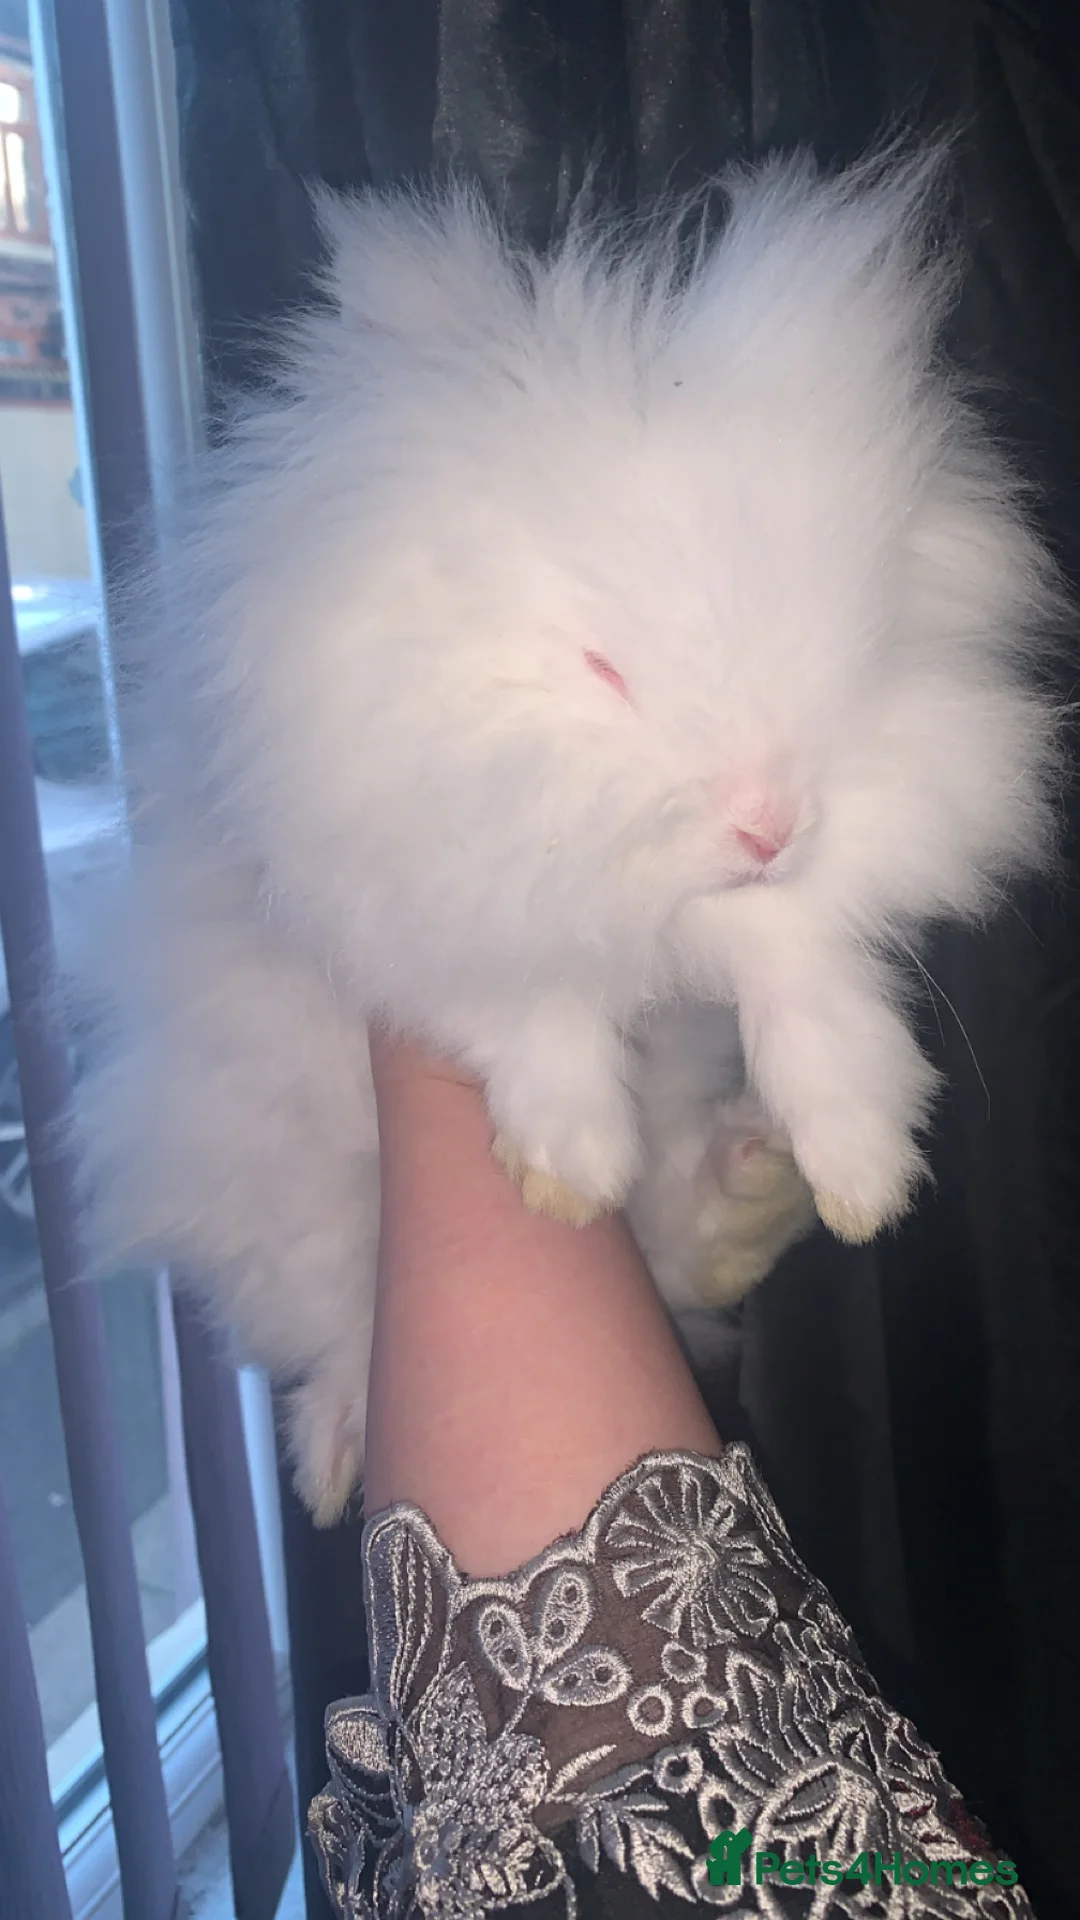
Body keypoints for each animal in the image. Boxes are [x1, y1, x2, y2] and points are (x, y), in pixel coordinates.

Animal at [75, 146, 1064, 1524]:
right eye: (603, 668)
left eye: (854, 627)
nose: (771, 823)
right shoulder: (423, 891)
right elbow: (527, 1006)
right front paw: (566, 1169)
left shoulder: (779, 917)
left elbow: (811, 998)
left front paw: (867, 1173)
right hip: (284, 1190)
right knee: (344, 1327)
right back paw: (333, 1457)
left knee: (682, 1265)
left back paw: (756, 1192)